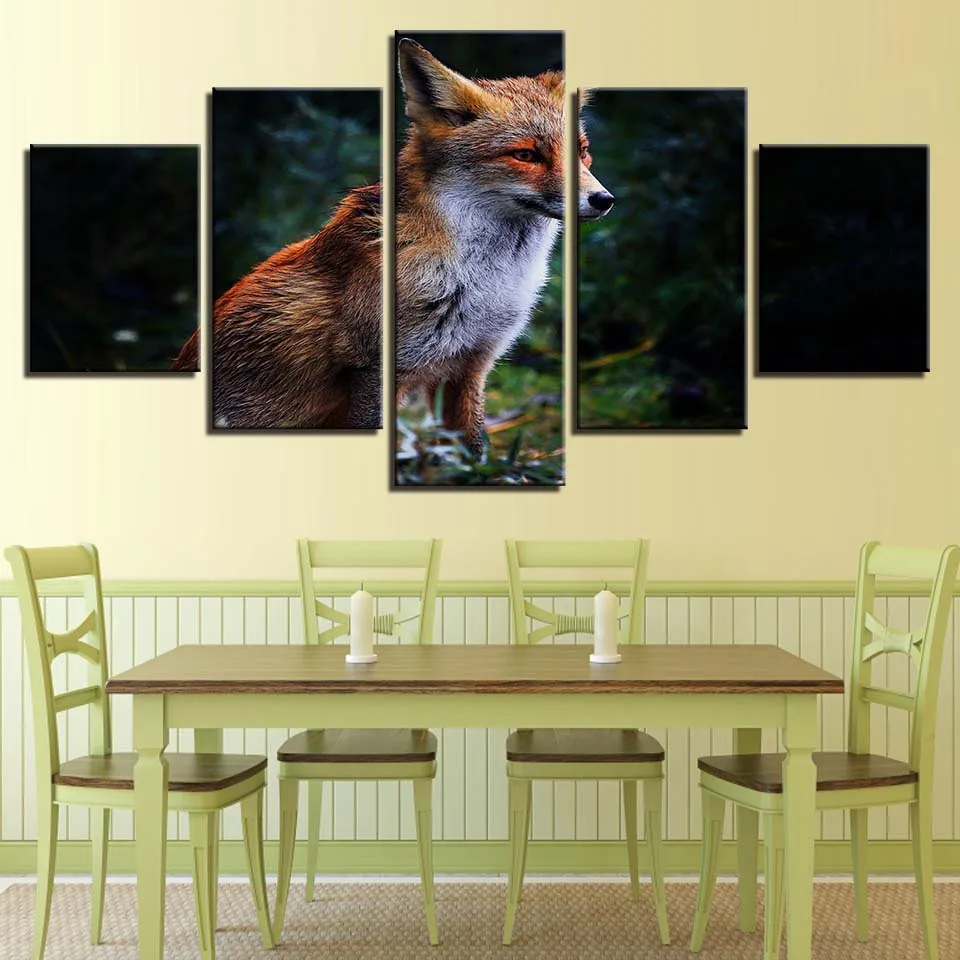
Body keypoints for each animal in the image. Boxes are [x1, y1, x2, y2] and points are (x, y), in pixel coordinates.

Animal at [173, 40, 614, 447]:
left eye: (583, 152)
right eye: (525, 155)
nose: (604, 200)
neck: (484, 281)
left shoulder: (470, 366)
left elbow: (474, 451)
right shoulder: (376, 371)